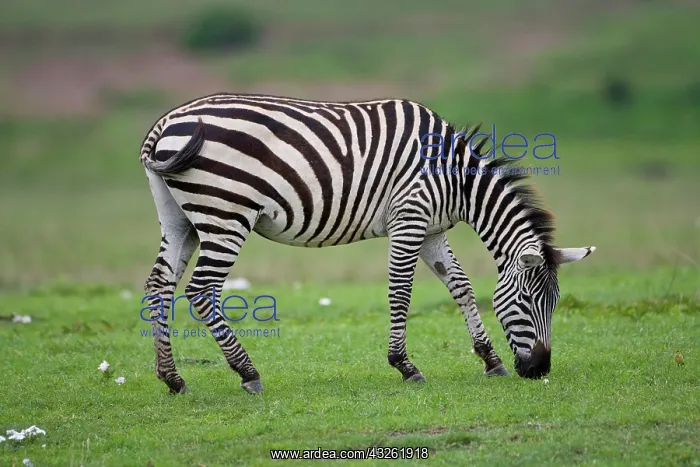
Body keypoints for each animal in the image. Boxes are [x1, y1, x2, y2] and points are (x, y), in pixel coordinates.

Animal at [139, 92, 595, 394]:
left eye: (555, 304)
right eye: (527, 302)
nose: (539, 370)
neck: (454, 179)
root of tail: (165, 122)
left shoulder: (432, 230)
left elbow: (461, 286)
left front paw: (490, 359)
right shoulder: (409, 218)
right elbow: (401, 293)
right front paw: (405, 366)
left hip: (180, 218)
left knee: (159, 286)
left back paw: (172, 378)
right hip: (225, 214)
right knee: (201, 291)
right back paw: (247, 373)